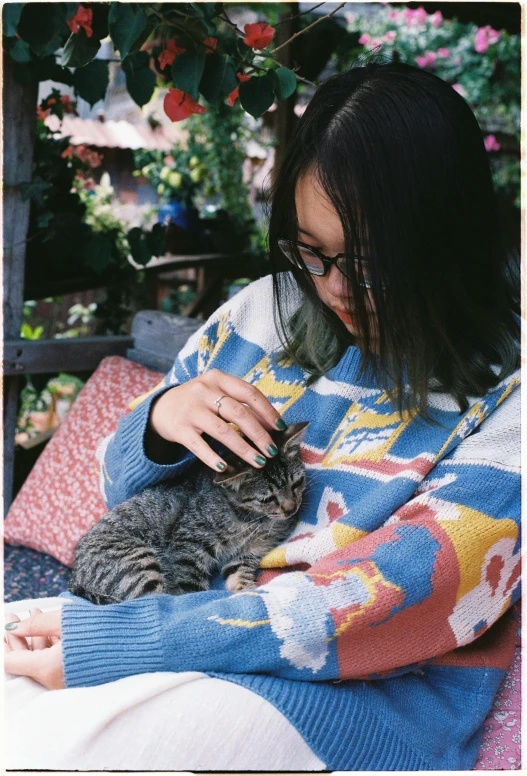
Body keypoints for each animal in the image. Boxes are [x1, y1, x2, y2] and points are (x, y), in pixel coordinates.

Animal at [67, 422, 308, 604]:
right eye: (267, 498)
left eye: (297, 483)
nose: (291, 508)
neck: (249, 518)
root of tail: (75, 576)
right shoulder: (189, 545)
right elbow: (189, 590)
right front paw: (200, 600)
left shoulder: (247, 553)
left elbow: (239, 575)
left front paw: (246, 589)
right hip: (136, 560)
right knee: (157, 600)